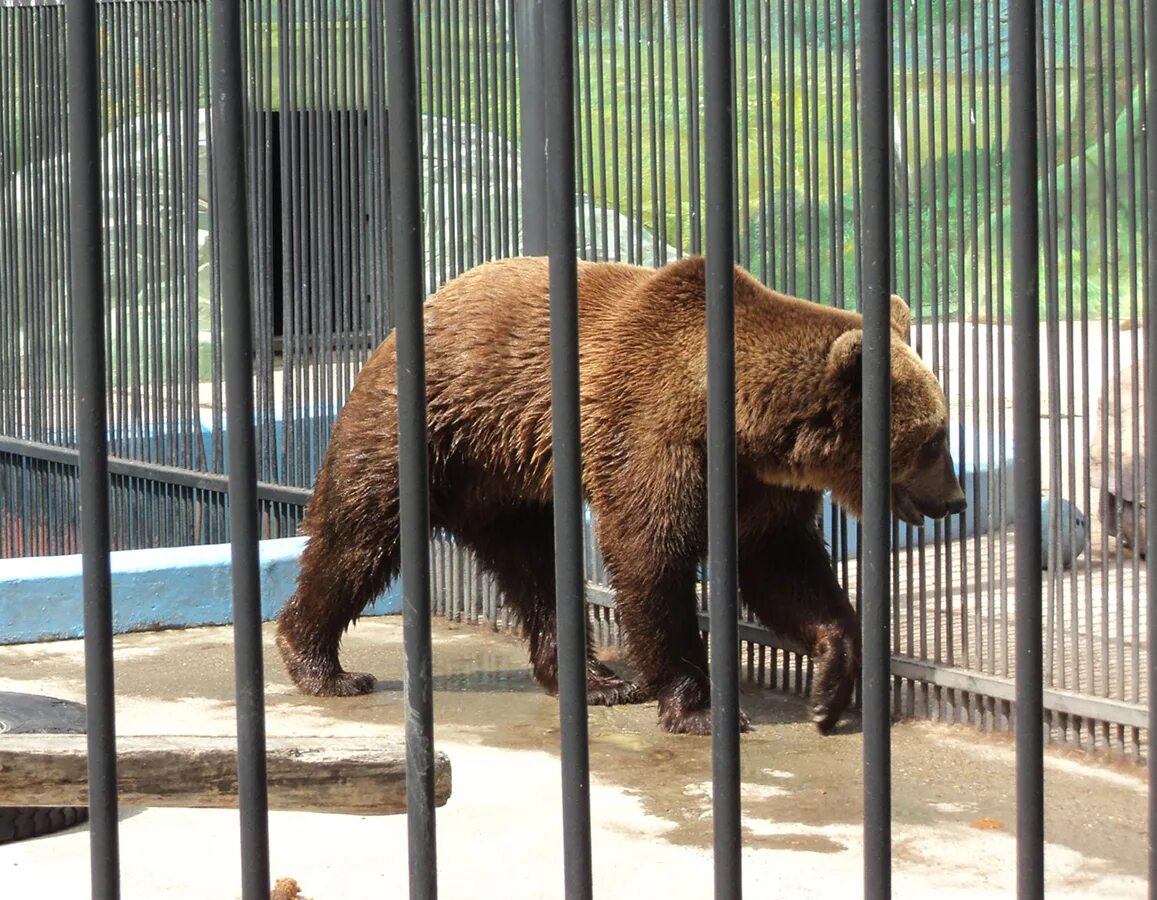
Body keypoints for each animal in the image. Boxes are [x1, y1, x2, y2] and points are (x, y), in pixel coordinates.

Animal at [275, 255, 962, 731]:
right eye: (934, 439)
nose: (953, 499)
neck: (746, 426)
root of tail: (417, 309)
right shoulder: (655, 437)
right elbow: (650, 556)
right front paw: (696, 706)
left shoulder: (761, 490)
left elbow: (784, 569)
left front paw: (829, 686)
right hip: (432, 423)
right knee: (359, 535)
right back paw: (322, 663)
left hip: (508, 482)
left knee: (539, 572)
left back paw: (595, 679)